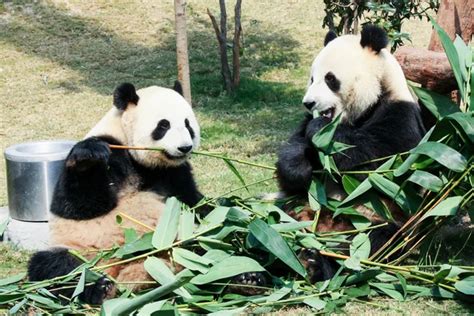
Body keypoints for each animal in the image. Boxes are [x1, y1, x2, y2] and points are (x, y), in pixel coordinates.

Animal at [27, 81, 206, 304]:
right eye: (164, 125)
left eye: (188, 124)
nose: (184, 147)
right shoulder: (114, 150)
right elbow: (75, 205)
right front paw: (87, 159)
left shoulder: (174, 172)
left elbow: (193, 201)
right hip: (79, 250)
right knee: (55, 268)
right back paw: (100, 288)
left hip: (179, 246)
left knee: (202, 249)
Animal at [274, 24, 426, 282]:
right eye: (312, 78)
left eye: (330, 78)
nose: (308, 103)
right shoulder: (302, 126)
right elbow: (293, 157)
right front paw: (298, 168)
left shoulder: (401, 118)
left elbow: (377, 165)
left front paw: (323, 131)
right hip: (291, 208)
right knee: (266, 220)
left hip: (375, 223)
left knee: (369, 244)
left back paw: (317, 263)